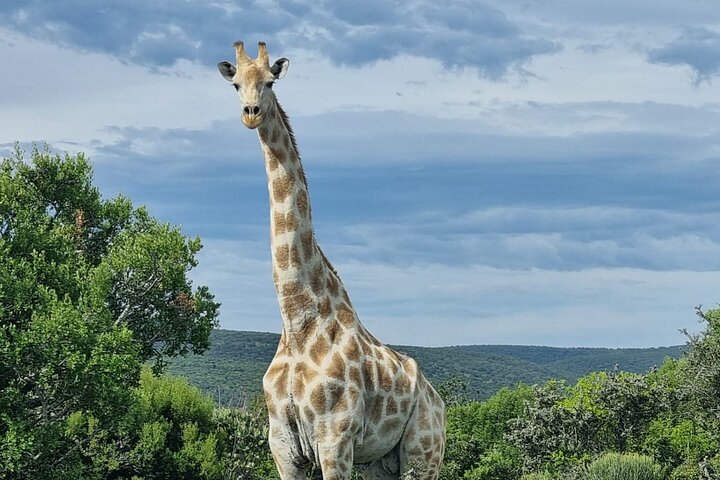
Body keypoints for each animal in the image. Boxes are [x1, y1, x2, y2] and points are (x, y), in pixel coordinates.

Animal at [218, 41, 446, 480]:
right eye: (236, 84)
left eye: (270, 82)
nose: (251, 113)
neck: (296, 320)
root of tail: (438, 399)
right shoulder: (283, 445)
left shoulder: (335, 440)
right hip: (380, 462)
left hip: (423, 455)